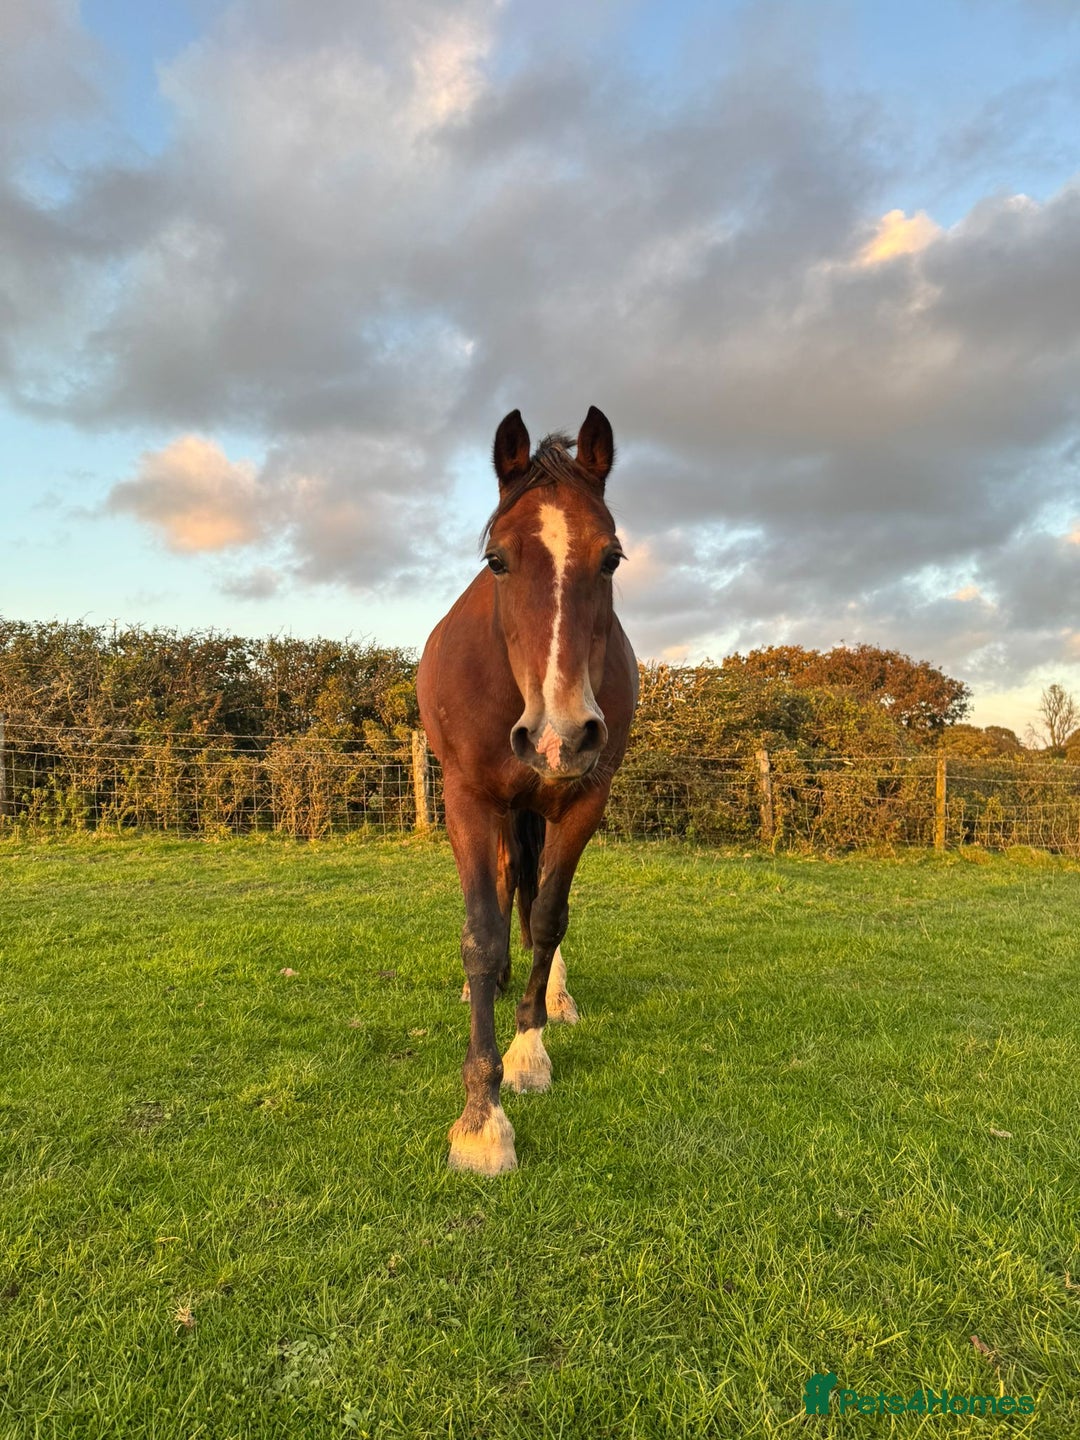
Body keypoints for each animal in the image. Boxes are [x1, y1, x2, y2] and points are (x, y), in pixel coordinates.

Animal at [416, 406, 638, 1174]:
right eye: (497, 560)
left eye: (611, 557)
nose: (559, 736)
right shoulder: (469, 802)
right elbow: (482, 934)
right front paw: (481, 1120)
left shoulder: (583, 801)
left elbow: (547, 916)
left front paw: (528, 1052)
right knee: (507, 884)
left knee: (535, 890)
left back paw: (553, 997)